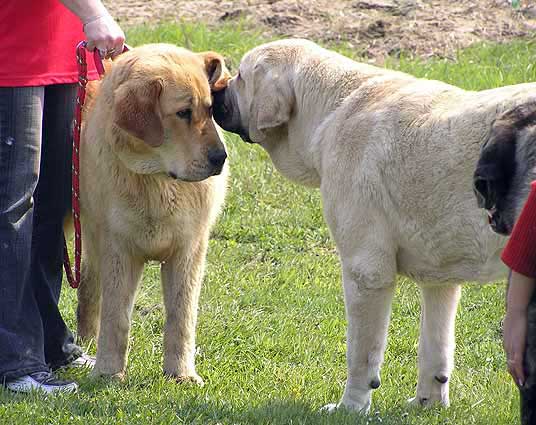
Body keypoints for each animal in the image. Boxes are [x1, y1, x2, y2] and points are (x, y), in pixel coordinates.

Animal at [75, 44, 228, 380]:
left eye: (210, 110)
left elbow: (181, 318)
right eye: (183, 113)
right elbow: (117, 318)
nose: (220, 158)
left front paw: (181, 374)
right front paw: (108, 372)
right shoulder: (119, 250)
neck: (156, 179)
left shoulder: (187, 252)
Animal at [214, 39, 536, 410]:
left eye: (240, 76)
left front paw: (350, 406)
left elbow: (362, 351)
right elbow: (435, 346)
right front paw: (428, 403)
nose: (216, 90)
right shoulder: (440, 279)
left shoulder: (365, 272)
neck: (329, 109)